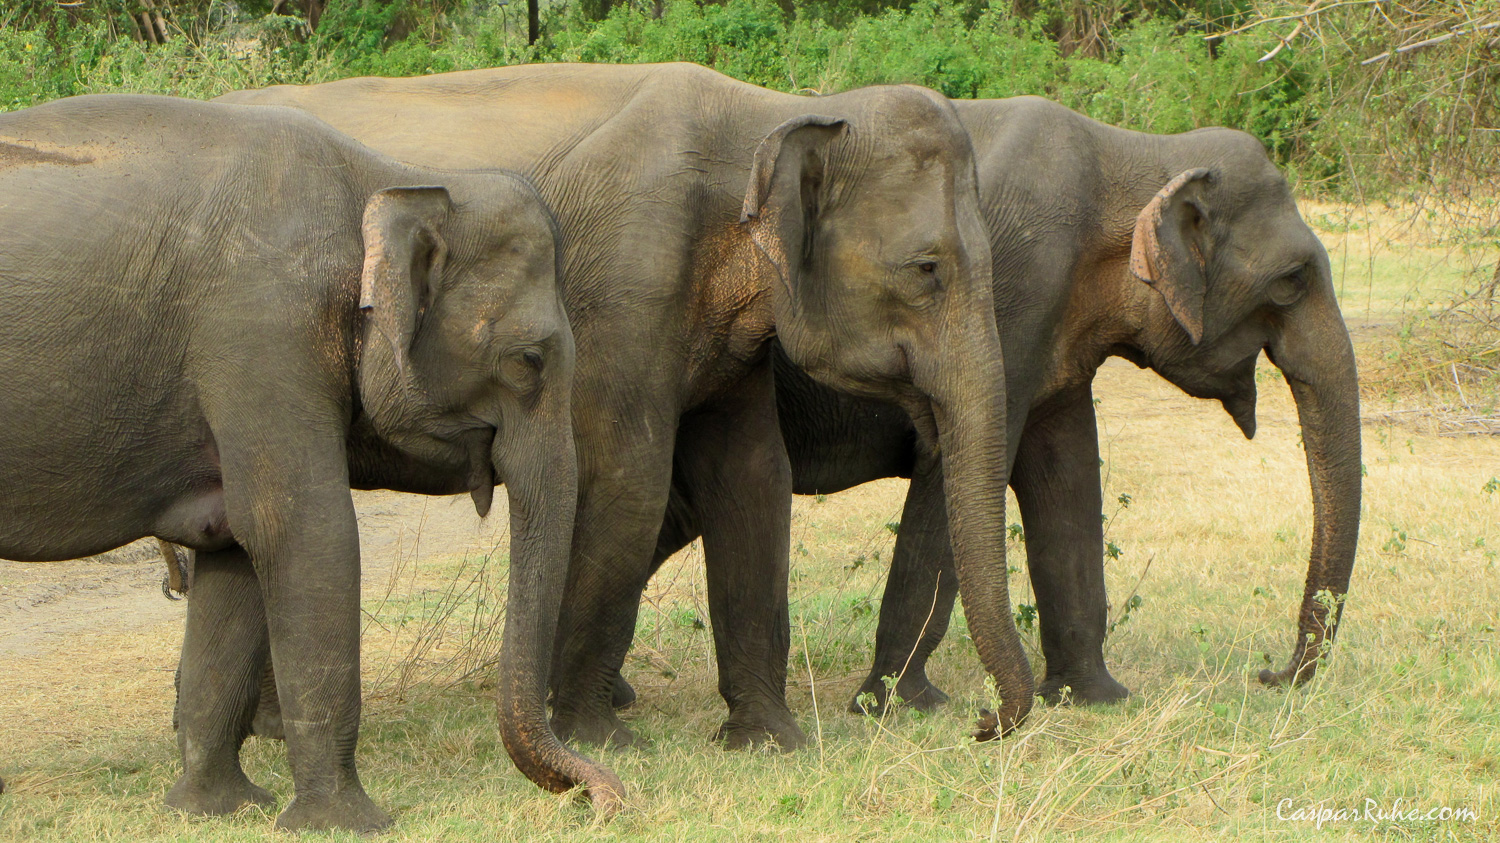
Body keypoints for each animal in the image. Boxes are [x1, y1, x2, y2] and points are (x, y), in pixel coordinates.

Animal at [0, 94, 608, 831]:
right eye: (529, 361)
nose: (602, 799)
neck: (394, 177)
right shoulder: (264, 332)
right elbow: (304, 532)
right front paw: (349, 823)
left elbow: (232, 543)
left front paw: (214, 809)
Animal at [217, 61, 1034, 753]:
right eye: (927, 269)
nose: (982, 722)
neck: (772, 109)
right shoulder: (625, 286)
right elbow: (626, 482)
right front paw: (598, 738)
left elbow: (754, 478)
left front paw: (770, 742)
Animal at [612, 95, 1362, 714]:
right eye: (1292, 280)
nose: (1269, 674)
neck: (1133, 148)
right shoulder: (1017, 291)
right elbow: (958, 469)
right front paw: (900, 708)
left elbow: (1066, 473)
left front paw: (1096, 698)